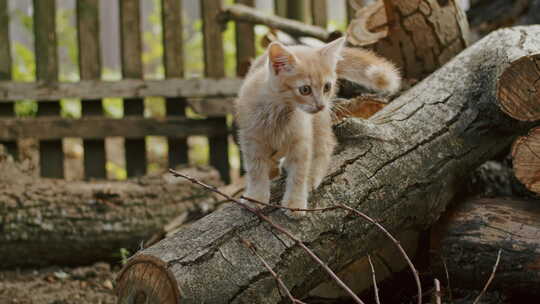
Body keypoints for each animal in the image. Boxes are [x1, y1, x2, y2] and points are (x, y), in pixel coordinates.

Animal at [236, 36, 400, 216]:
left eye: (326, 87)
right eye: (305, 89)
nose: (320, 105)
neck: (279, 111)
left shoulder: (302, 138)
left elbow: (299, 173)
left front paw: (295, 203)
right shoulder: (251, 140)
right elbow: (256, 170)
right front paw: (256, 197)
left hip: (319, 120)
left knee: (326, 144)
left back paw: (312, 176)